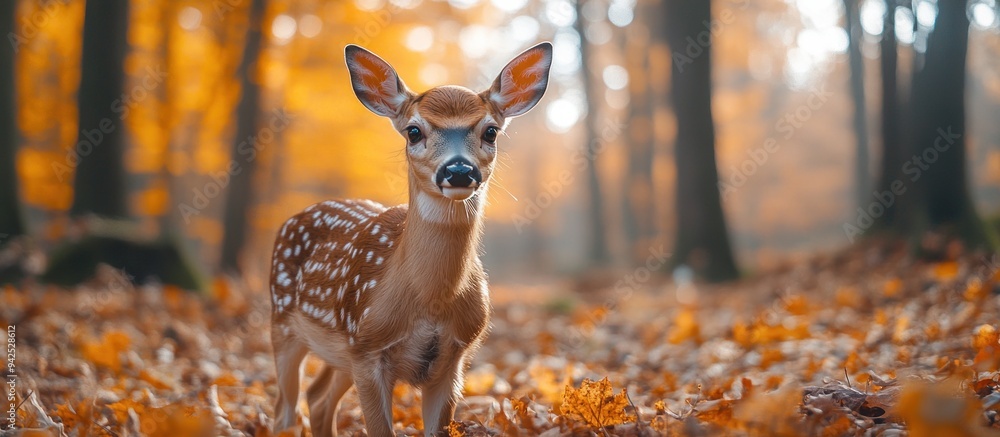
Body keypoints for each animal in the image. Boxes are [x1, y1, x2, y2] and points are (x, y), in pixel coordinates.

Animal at [270, 41, 556, 436]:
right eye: (414, 131)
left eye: (491, 131)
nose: (458, 170)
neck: (430, 303)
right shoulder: (368, 348)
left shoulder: (454, 358)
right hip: (283, 321)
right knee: (284, 409)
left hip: (339, 352)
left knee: (317, 398)